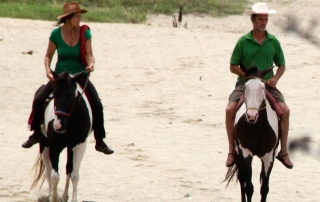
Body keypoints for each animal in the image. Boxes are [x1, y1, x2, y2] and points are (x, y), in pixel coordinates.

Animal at [31, 71, 92, 202]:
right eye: (54, 94)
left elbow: (74, 175)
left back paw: (64, 196)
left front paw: (73, 199)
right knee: (48, 171)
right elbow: (55, 176)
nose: (58, 125)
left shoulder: (79, 146)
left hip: (70, 147)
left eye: (71, 95)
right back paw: (50, 195)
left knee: (68, 168)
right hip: (44, 144)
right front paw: (54, 198)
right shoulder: (54, 145)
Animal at [225, 65, 280, 202]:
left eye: (263, 87)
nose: (251, 115)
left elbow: (264, 188)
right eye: (246, 87)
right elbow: (249, 187)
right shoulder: (245, 153)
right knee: (241, 179)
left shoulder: (269, 156)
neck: (257, 128)